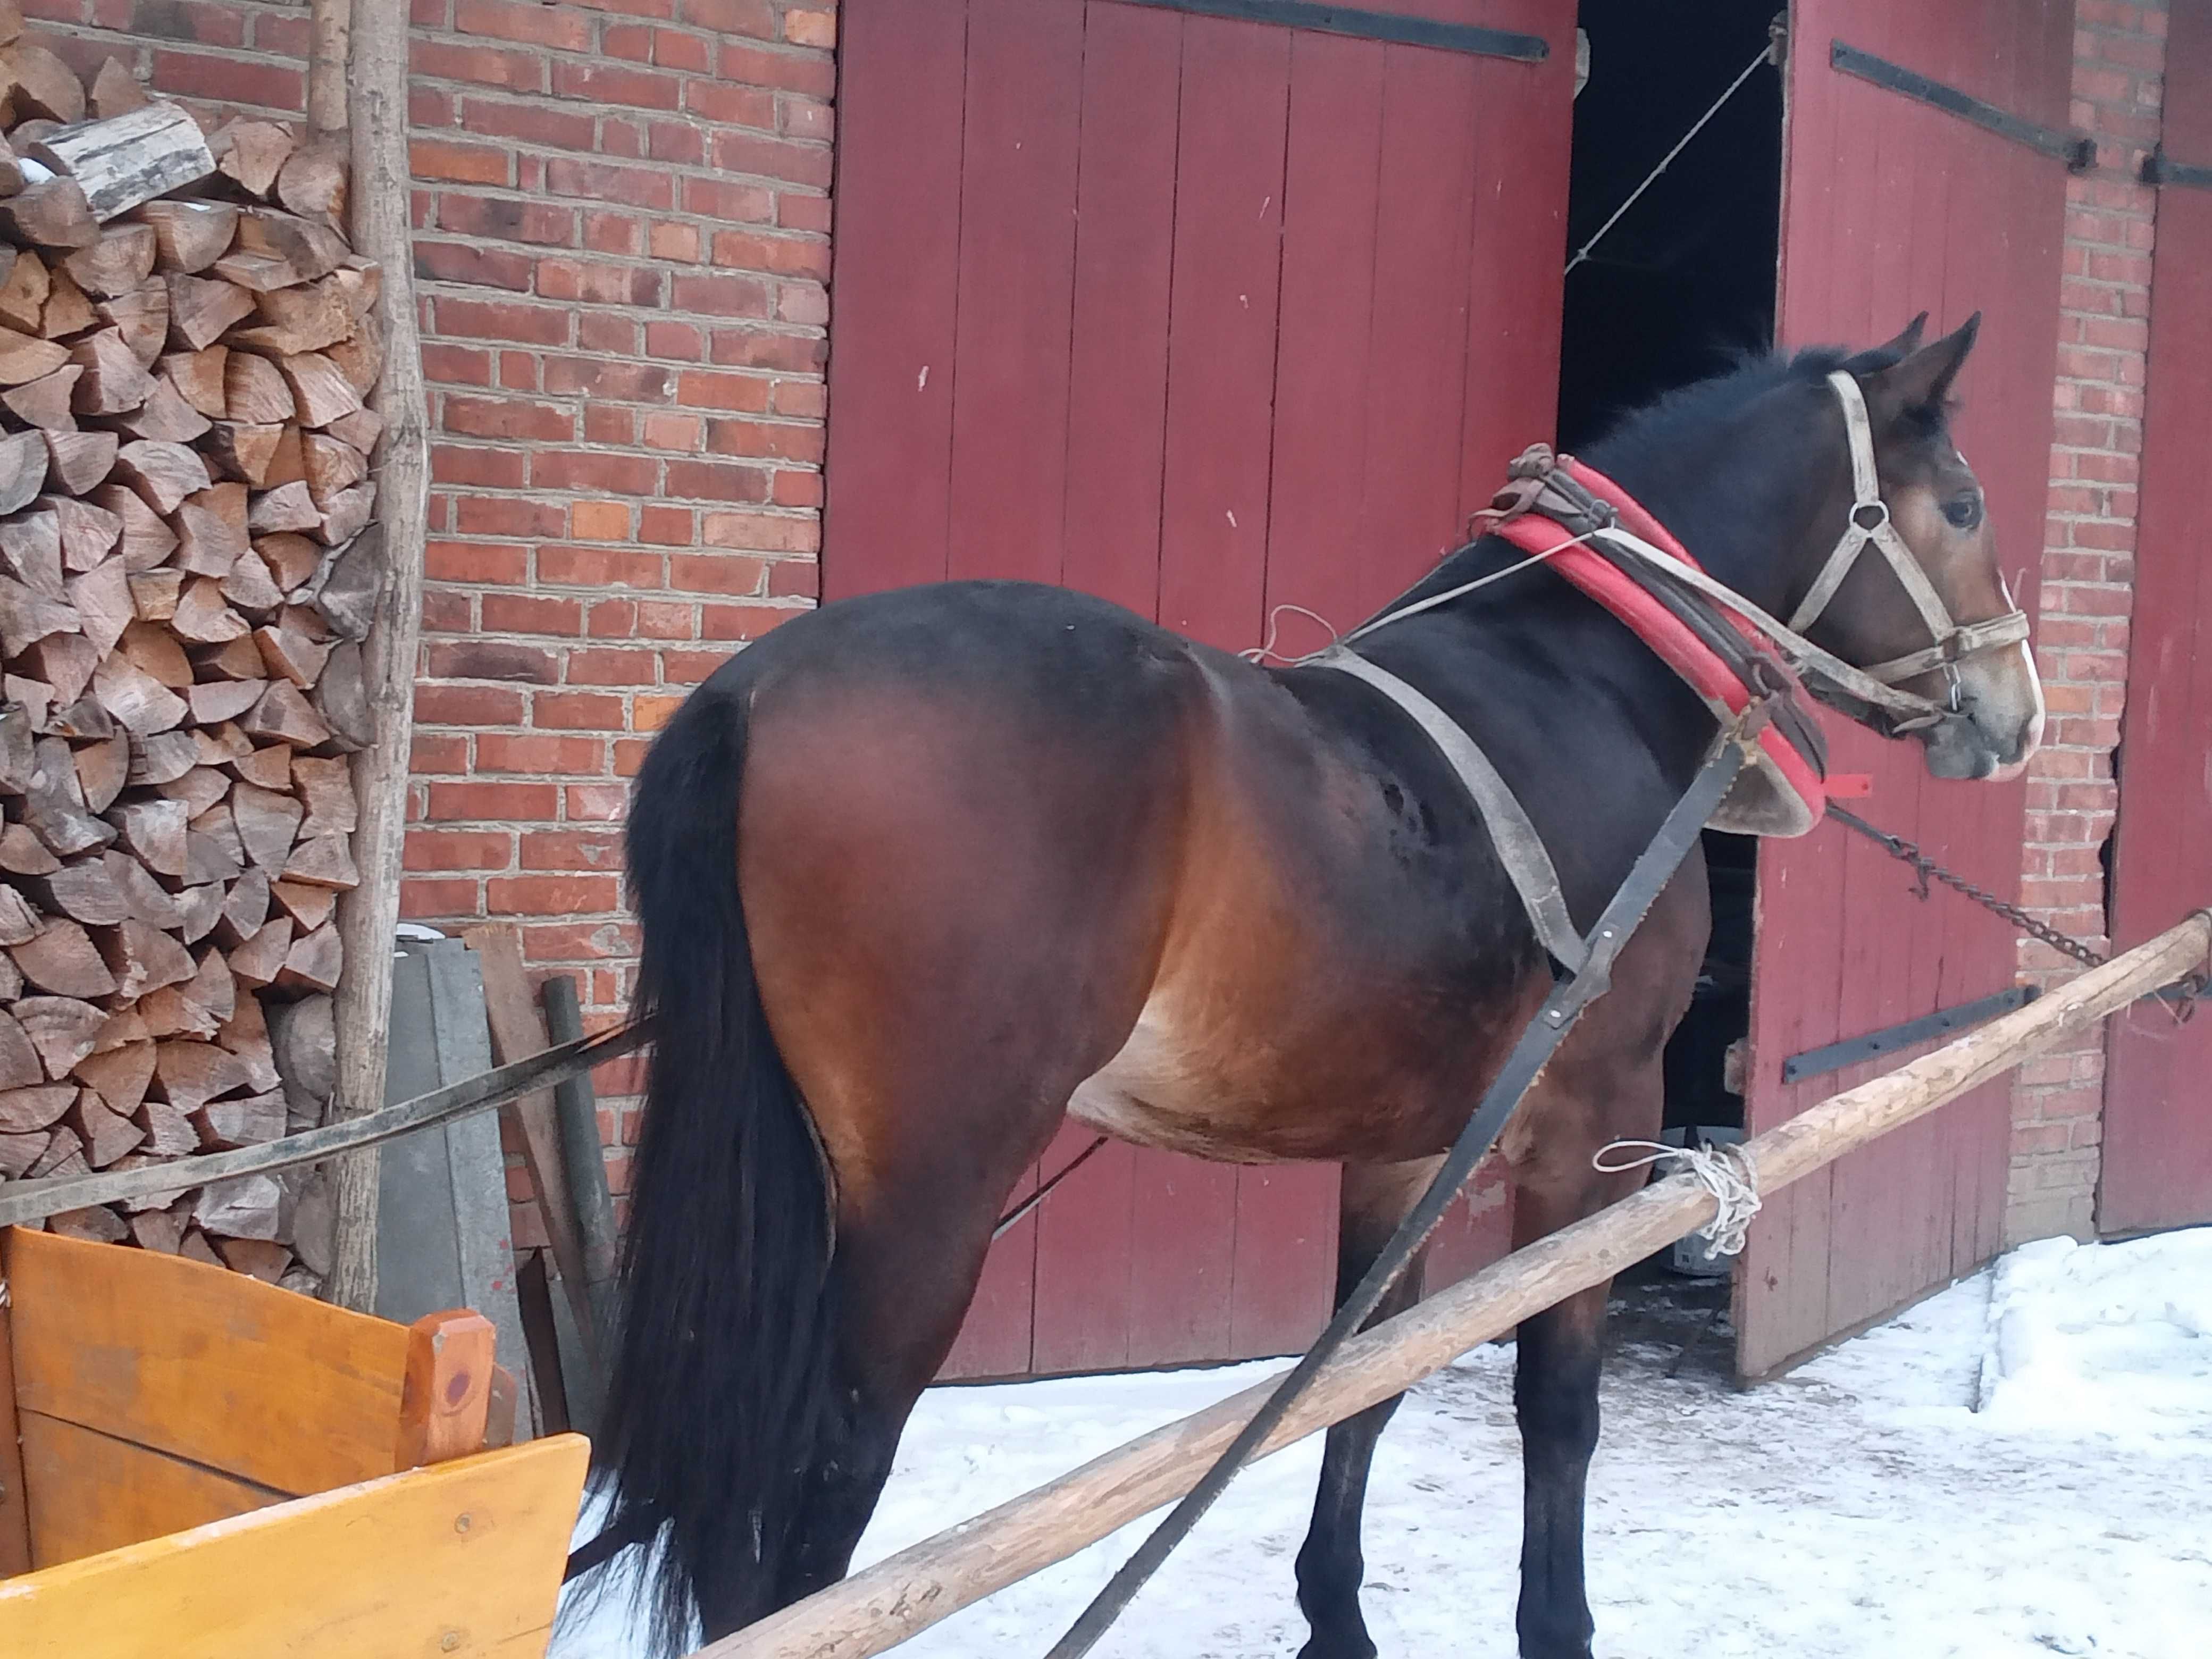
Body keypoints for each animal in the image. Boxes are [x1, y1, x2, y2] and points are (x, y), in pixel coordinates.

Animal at [584, 314, 2035, 1659]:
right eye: (1963, 504)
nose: (2015, 712)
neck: (1584, 671)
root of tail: (753, 692)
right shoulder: (1593, 1122)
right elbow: (1558, 1401)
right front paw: (1554, 1624)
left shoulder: (1410, 1144)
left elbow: (1360, 1376)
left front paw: (1334, 1613)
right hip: (929, 1200)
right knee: (820, 1508)